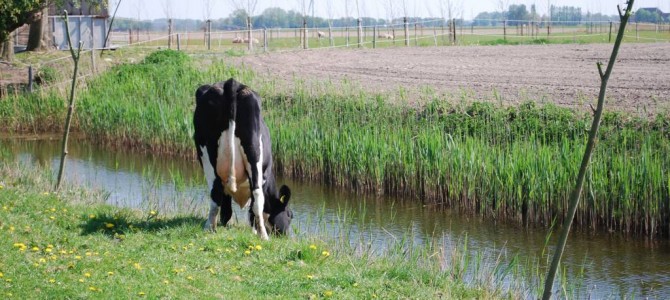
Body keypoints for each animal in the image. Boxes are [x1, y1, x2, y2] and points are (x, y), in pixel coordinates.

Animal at [192, 78, 292, 240]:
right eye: (290, 215)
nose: (288, 236)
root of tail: (231, 82)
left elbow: (226, 210)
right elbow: (252, 210)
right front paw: (254, 231)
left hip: (207, 155)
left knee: (215, 193)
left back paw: (210, 228)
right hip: (254, 153)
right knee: (257, 197)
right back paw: (263, 236)